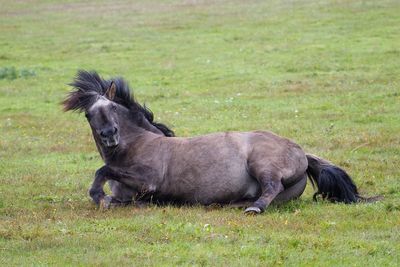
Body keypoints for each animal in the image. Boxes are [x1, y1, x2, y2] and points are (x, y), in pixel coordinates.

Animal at [61, 70, 372, 215]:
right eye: (89, 114)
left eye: (112, 107)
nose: (110, 136)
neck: (137, 144)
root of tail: (303, 153)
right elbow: (115, 193)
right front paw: (106, 199)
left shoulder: (148, 180)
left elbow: (102, 172)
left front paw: (99, 196)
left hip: (263, 164)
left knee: (270, 187)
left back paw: (255, 208)